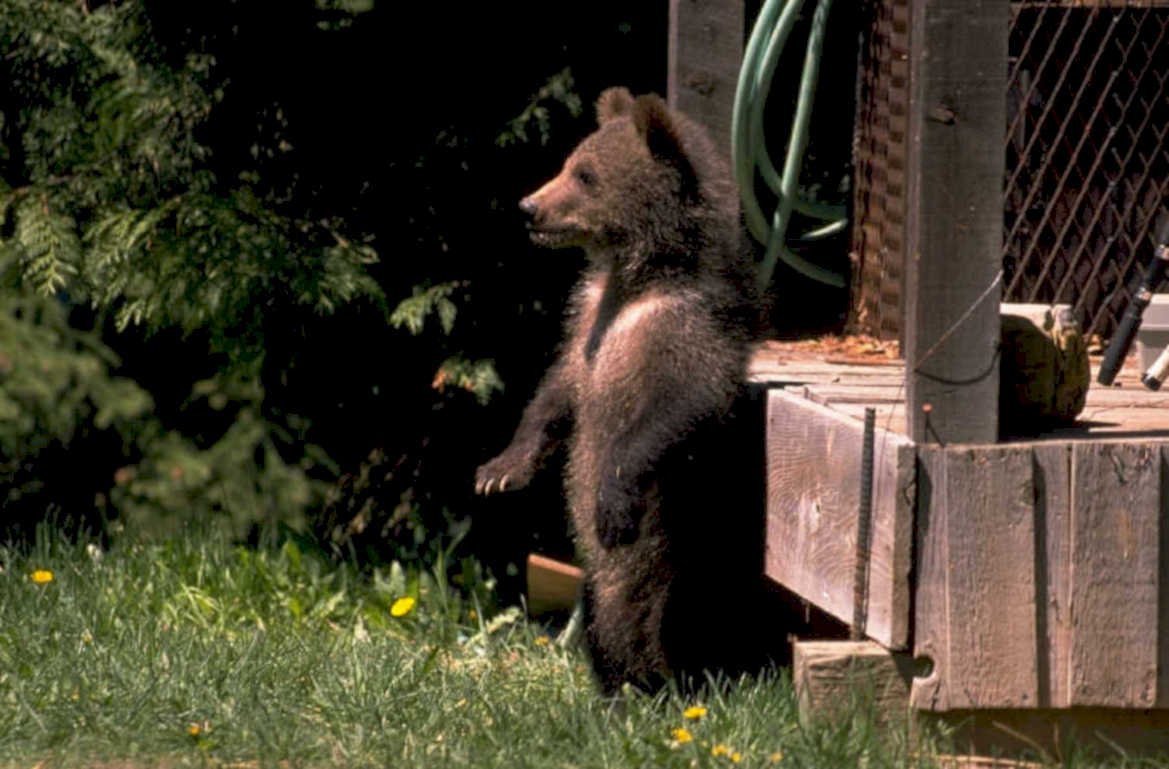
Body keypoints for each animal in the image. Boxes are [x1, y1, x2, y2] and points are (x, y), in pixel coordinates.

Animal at [475, 86, 780, 695]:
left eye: (586, 175)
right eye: (569, 162)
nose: (528, 207)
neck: (640, 276)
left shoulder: (686, 330)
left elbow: (677, 410)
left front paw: (612, 501)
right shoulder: (588, 322)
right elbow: (556, 392)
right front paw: (501, 470)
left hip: (685, 551)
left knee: (682, 614)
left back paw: (683, 685)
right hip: (603, 581)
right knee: (602, 613)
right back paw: (619, 688)